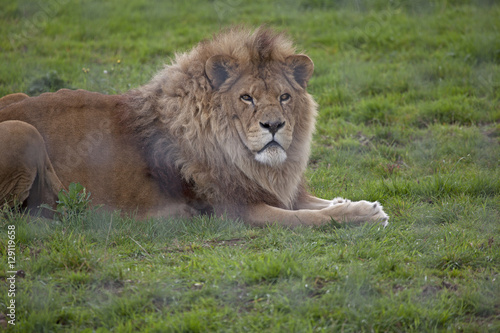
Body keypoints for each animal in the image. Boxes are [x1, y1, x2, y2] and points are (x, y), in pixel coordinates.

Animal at [0, 27, 388, 226]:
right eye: (246, 98)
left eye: (284, 97)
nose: (274, 125)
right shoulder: (240, 210)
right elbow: (313, 218)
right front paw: (364, 215)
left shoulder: (271, 190)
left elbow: (315, 203)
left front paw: (352, 202)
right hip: (23, 131)